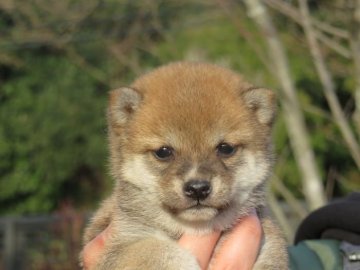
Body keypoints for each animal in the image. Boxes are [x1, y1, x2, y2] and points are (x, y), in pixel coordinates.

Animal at [82, 61, 290, 270]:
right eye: (163, 152)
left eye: (226, 148)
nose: (198, 188)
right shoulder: (121, 243)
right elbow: (156, 250)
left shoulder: (270, 248)